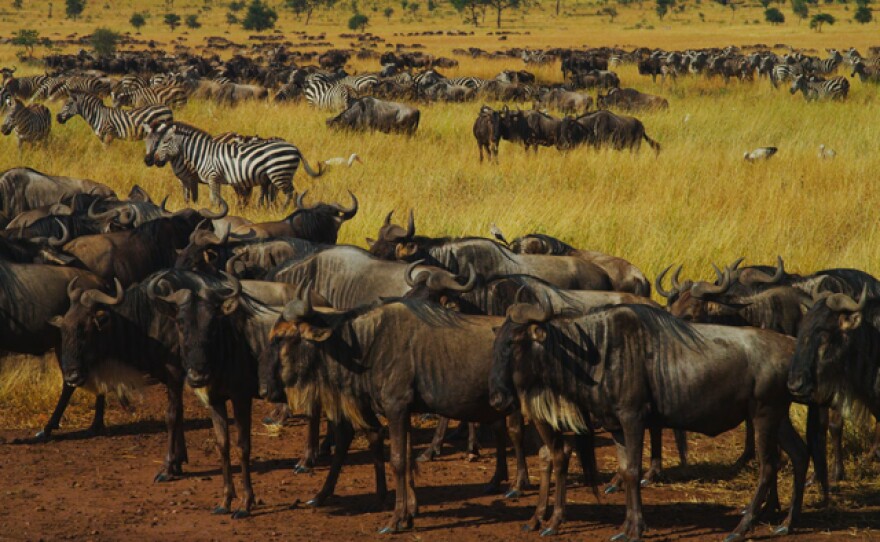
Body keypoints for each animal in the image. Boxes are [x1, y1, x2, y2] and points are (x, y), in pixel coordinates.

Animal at [144, 122, 324, 208]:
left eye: (165, 141)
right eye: (148, 141)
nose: (153, 161)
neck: (202, 153)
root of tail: (294, 147)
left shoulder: (211, 177)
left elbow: (212, 199)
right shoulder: (213, 179)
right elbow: (213, 199)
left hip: (278, 173)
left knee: (290, 193)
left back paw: (283, 211)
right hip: (283, 174)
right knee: (289, 193)